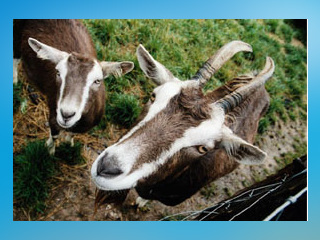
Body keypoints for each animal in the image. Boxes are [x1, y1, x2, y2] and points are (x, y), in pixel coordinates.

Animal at [13, 20, 134, 154]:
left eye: (97, 81)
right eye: (58, 73)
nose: (66, 114)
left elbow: (73, 133)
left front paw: (69, 142)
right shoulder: (54, 116)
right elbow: (54, 134)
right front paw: (50, 150)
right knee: (15, 56)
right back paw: (14, 80)